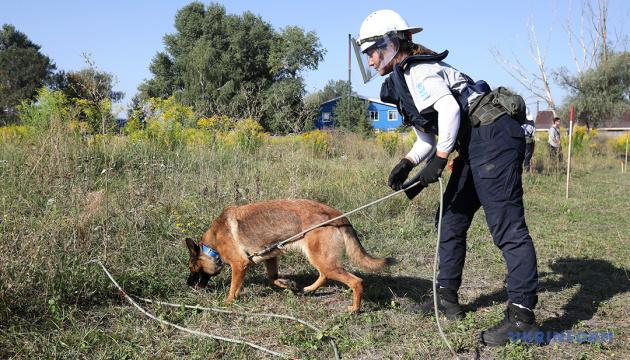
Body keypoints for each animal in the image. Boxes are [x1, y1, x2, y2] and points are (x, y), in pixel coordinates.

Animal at [185, 198, 398, 310]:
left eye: (192, 268)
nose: (187, 284)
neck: (212, 246)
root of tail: (337, 215)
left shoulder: (239, 265)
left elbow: (232, 288)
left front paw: (228, 303)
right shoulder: (271, 257)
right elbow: (272, 278)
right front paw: (287, 284)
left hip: (323, 260)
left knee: (356, 281)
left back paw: (354, 309)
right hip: (320, 259)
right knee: (324, 276)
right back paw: (309, 289)